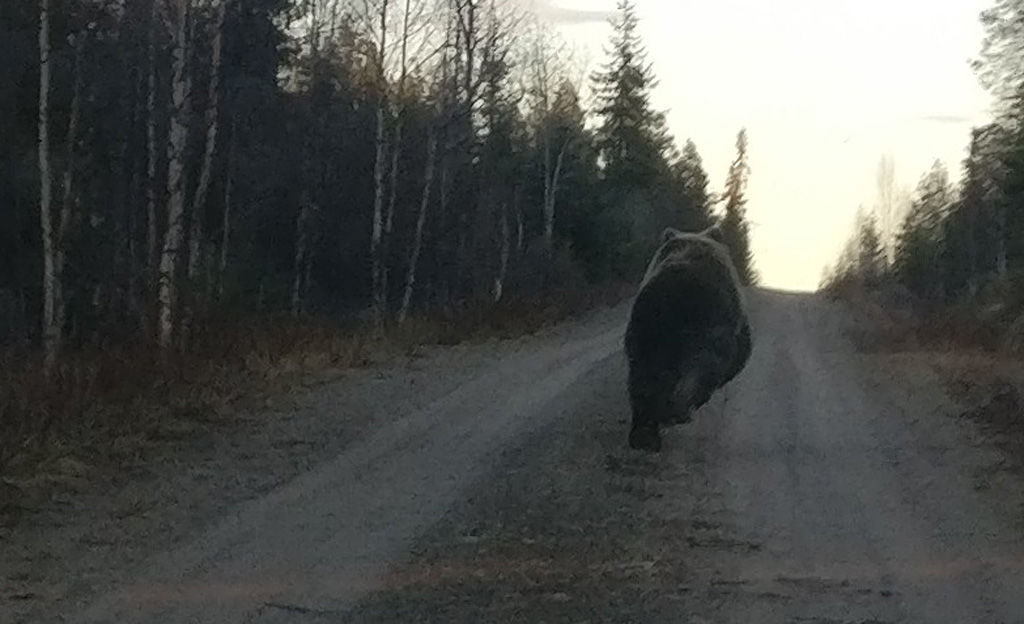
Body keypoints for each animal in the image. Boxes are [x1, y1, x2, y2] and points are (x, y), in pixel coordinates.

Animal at [622, 226, 753, 450]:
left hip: (647, 325)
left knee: (643, 374)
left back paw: (645, 434)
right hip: (704, 328)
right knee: (698, 371)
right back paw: (674, 412)